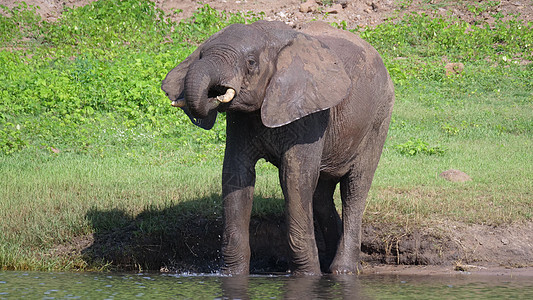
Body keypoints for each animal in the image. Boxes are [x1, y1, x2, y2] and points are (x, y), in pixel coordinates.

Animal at [162, 19, 394, 276]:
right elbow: (237, 175)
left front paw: (307, 275)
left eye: (251, 62)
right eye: (200, 55)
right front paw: (232, 274)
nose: (214, 92)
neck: (269, 37)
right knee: (321, 194)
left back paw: (342, 270)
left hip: (379, 117)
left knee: (355, 188)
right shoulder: (241, 120)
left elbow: (294, 177)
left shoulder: (309, 112)